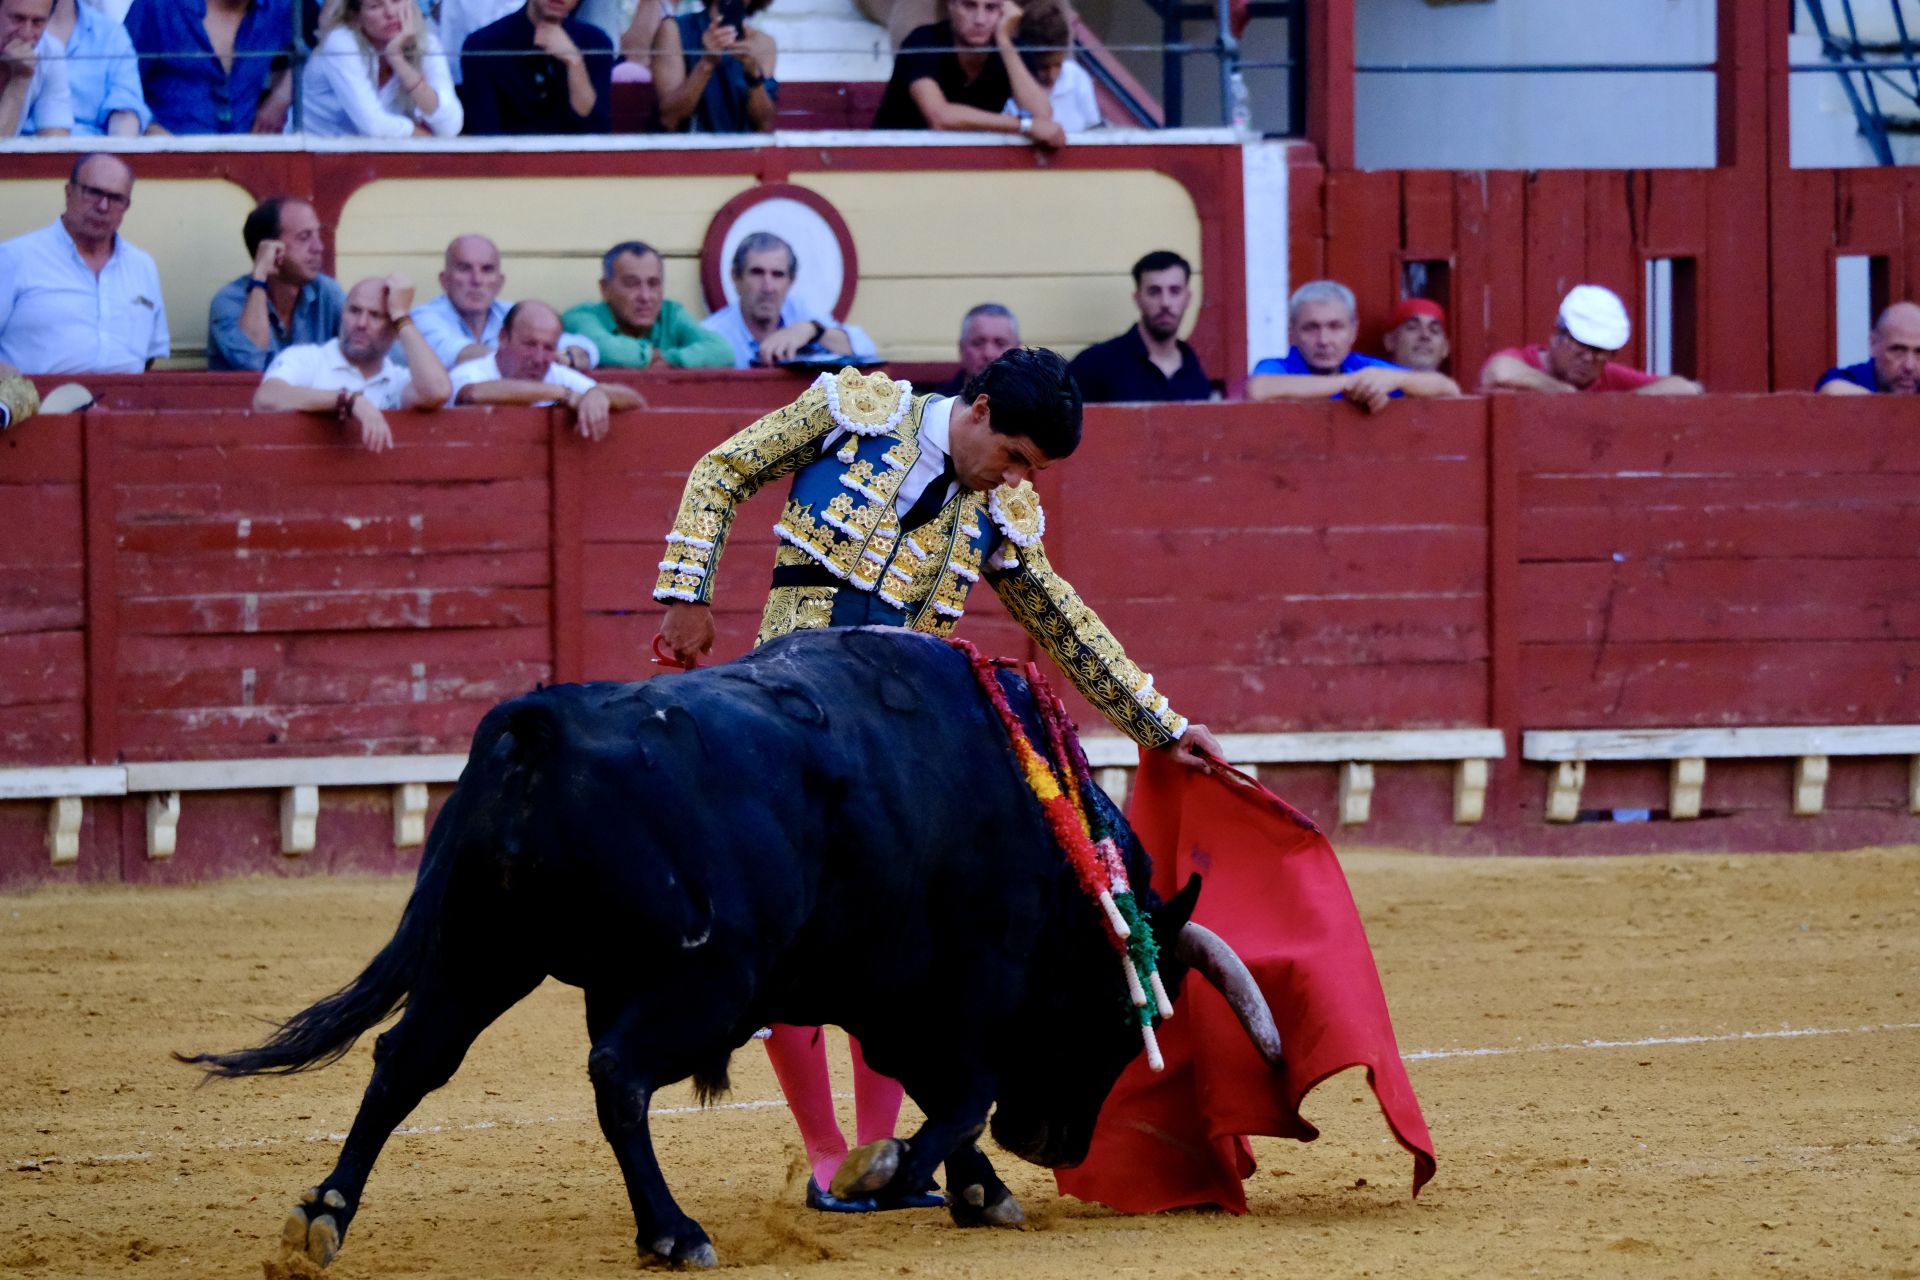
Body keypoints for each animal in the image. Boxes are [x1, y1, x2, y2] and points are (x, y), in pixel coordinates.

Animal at [187, 625, 1282, 1266]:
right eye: (1122, 1016)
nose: (1057, 1144)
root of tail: (542, 727)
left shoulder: (888, 993)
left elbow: (939, 1089)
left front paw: (970, 1187)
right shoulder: (957, 986)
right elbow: (962, 1090)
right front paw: (894, 1173)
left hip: (483, 950)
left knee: (408, 1058)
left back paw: (323, 1215)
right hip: (702, 974)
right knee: (618, 1072)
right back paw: (675, 1233)